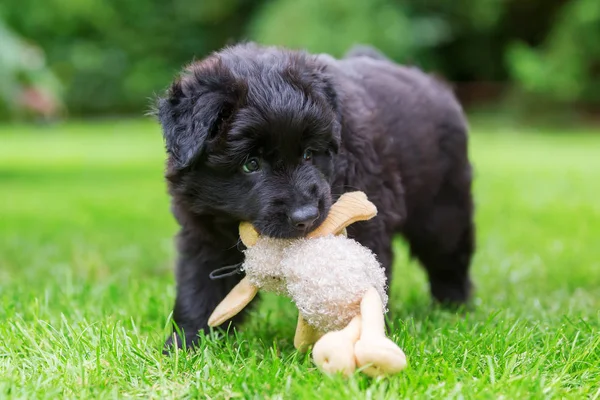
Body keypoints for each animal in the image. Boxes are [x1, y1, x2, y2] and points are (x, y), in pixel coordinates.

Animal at [157, 42, 476, 352]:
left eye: (309, 154)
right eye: (250, 164)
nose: (306, 216)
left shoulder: (369, 221)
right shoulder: (203, 233)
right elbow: (200, 288)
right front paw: (187, 345)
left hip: (443, 210)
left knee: (449, 258)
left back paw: (454, 309)